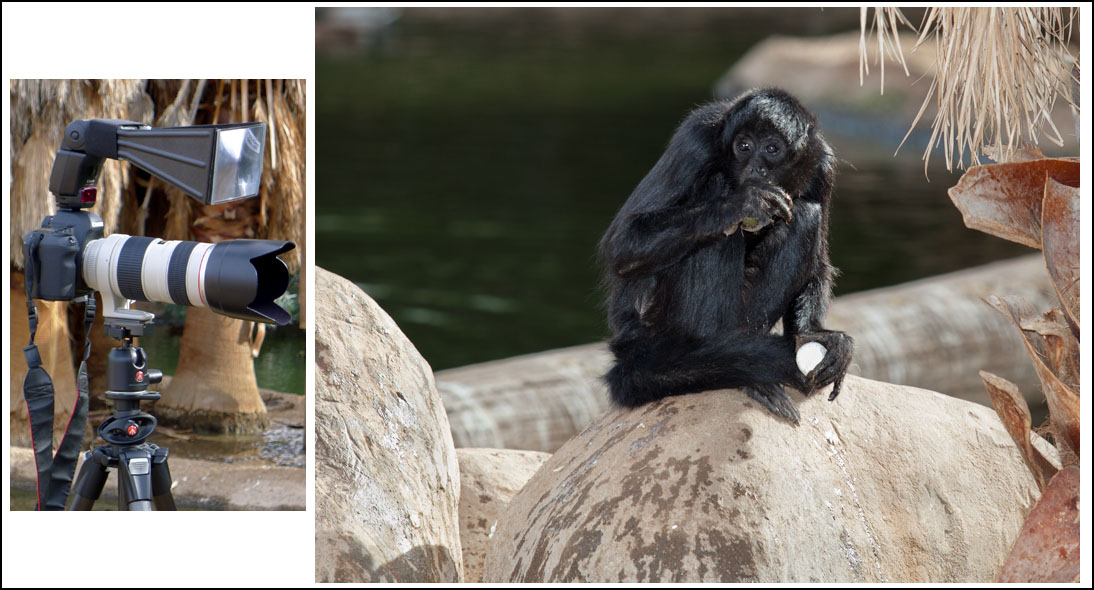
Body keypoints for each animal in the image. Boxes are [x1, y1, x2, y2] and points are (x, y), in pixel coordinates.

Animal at [598, 88, 853, 424]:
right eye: (744, 147)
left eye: (771, 149)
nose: (755, 168)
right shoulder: (696, 138)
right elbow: (623, 243)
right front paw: (741, 204)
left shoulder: (823, 164)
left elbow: (820, 268)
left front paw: (814, 335)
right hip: (656, 320)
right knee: (717, 204)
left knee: (804, 214)